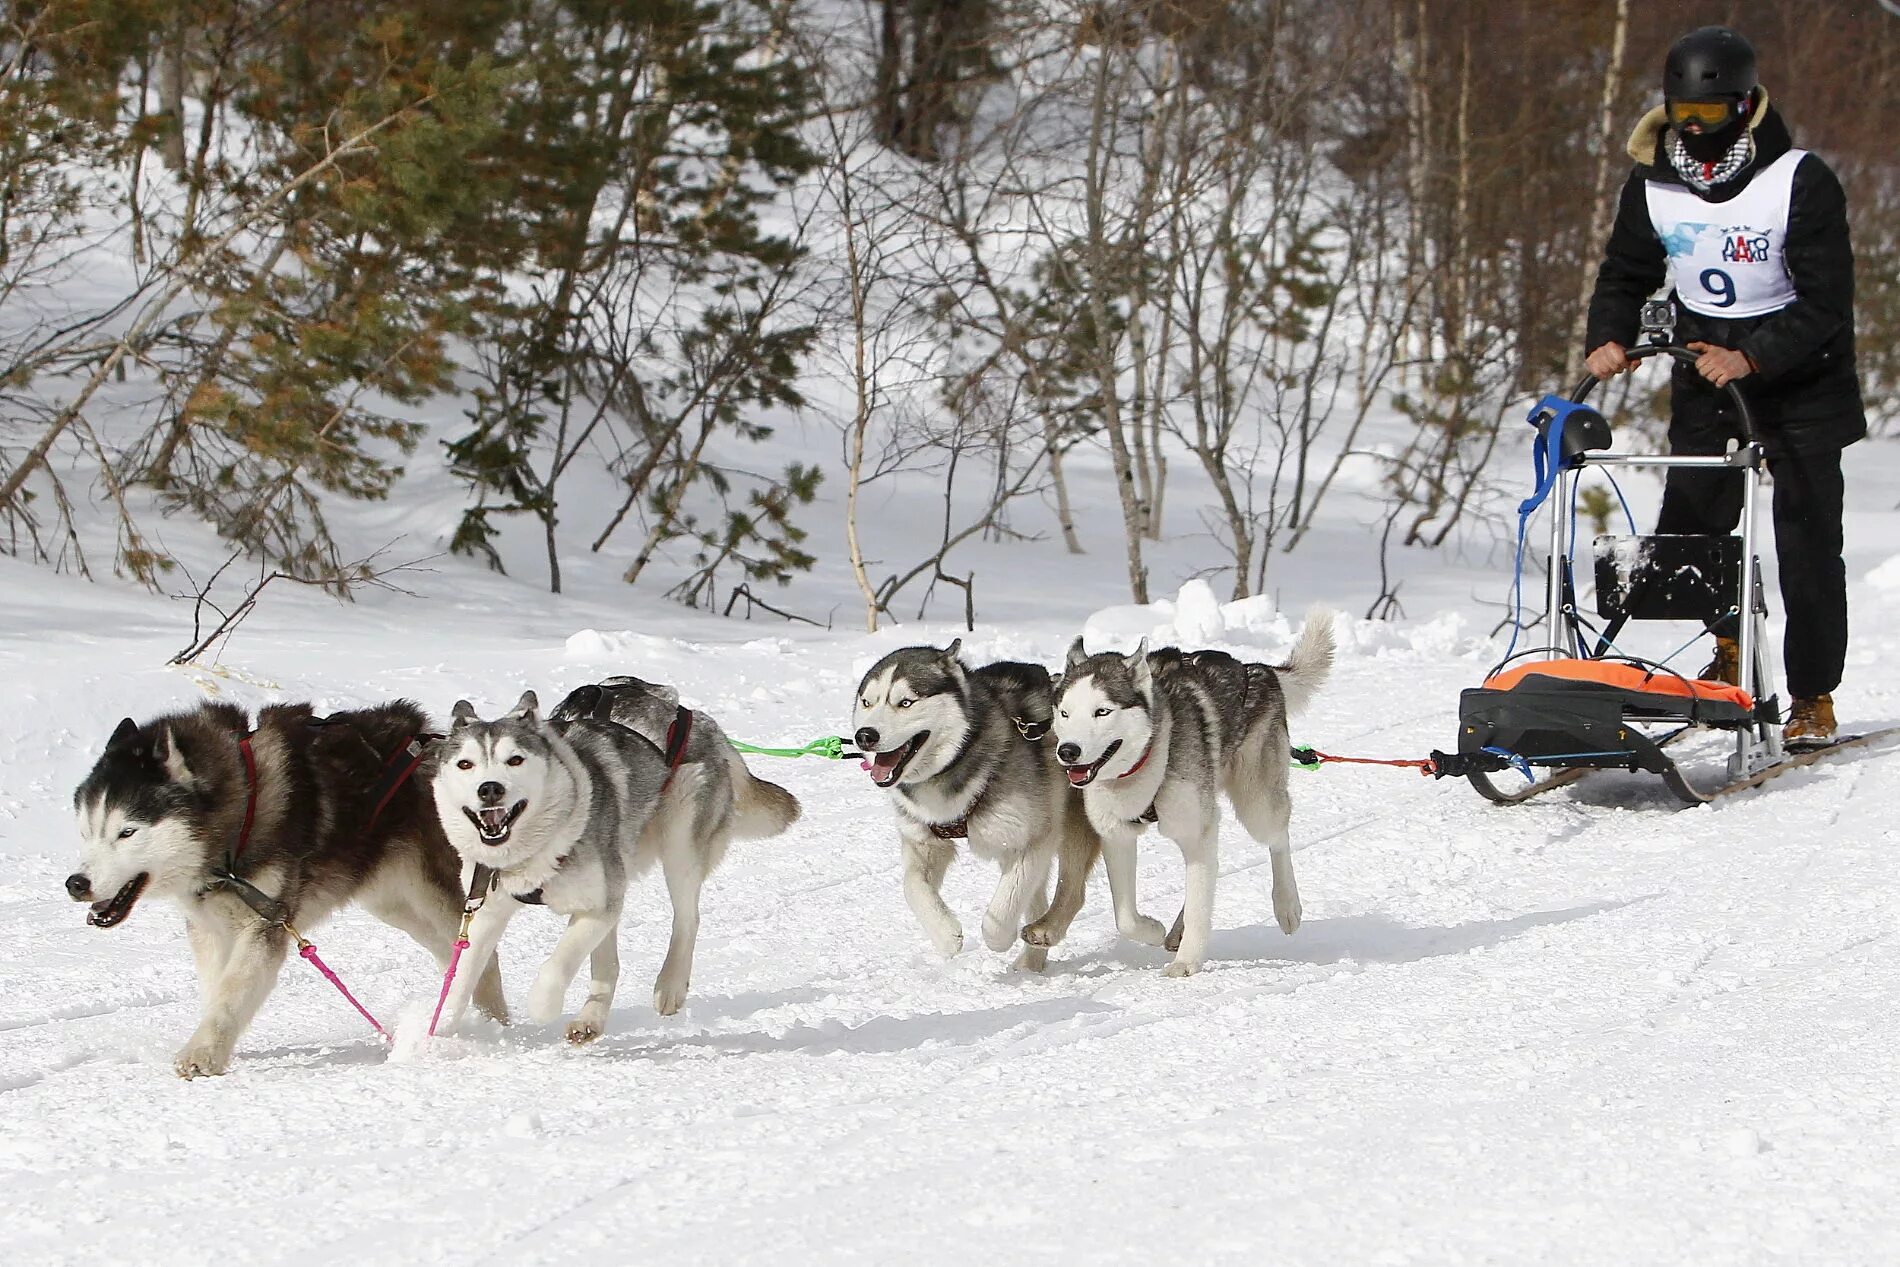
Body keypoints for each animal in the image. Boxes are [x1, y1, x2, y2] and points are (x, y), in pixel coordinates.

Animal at [72, 699, 505, 1078]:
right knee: (453, 955)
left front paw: (201, 1054)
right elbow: (217, 989)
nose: (76, 884)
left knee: (480, 953)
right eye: (86, 831)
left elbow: (232, 991)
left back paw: (495, 1026)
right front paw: (216, 1045)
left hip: (432, 892)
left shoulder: (266, 923)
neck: (239, 813)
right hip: (395, 904)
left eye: (127, 832)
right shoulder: (211, 927)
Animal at [858, 645, 1155, 972]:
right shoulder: (924, 841)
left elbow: (999, 912)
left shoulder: (1033, 840)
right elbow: (911, 886)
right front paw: (946, 935)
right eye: (867, 702)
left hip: (1072, 825)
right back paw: (1030, 963)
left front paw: (999, 938)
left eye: (906, 702)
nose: (865, 735)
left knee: (1071, 891)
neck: (959, 758)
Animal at [1056, 615, 1337, 980]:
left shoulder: (1196, 829)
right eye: (1064, 713)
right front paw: (1153, 929)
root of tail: (1258, 669)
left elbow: (1200, 903)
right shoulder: (1117, 835)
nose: (1067, 751)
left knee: (1277, 838)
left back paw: (1286, 904)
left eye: (1102, 712)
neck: (1151, 753)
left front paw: (1187, 961)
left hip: (1256, 805)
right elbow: (1126, 918)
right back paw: (1176, 930)